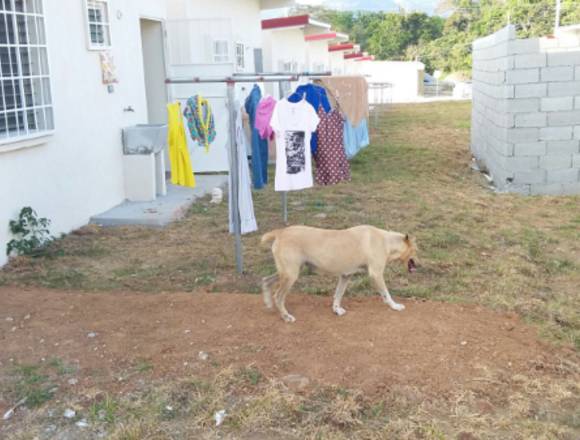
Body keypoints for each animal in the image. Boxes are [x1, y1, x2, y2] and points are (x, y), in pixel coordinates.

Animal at [260, 225, 416, 322]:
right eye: (416, 250)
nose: (418, 265)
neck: (385, 241)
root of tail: (281, 232)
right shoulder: (376, 274)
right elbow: (386, 294)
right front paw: (395, 306)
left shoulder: (345, 276)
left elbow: (338, 294)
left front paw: (336, 310)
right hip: (291, 275)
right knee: (278, 296)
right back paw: (286, 316)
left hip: (288, 271)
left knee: (266, 280)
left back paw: (268, 303)